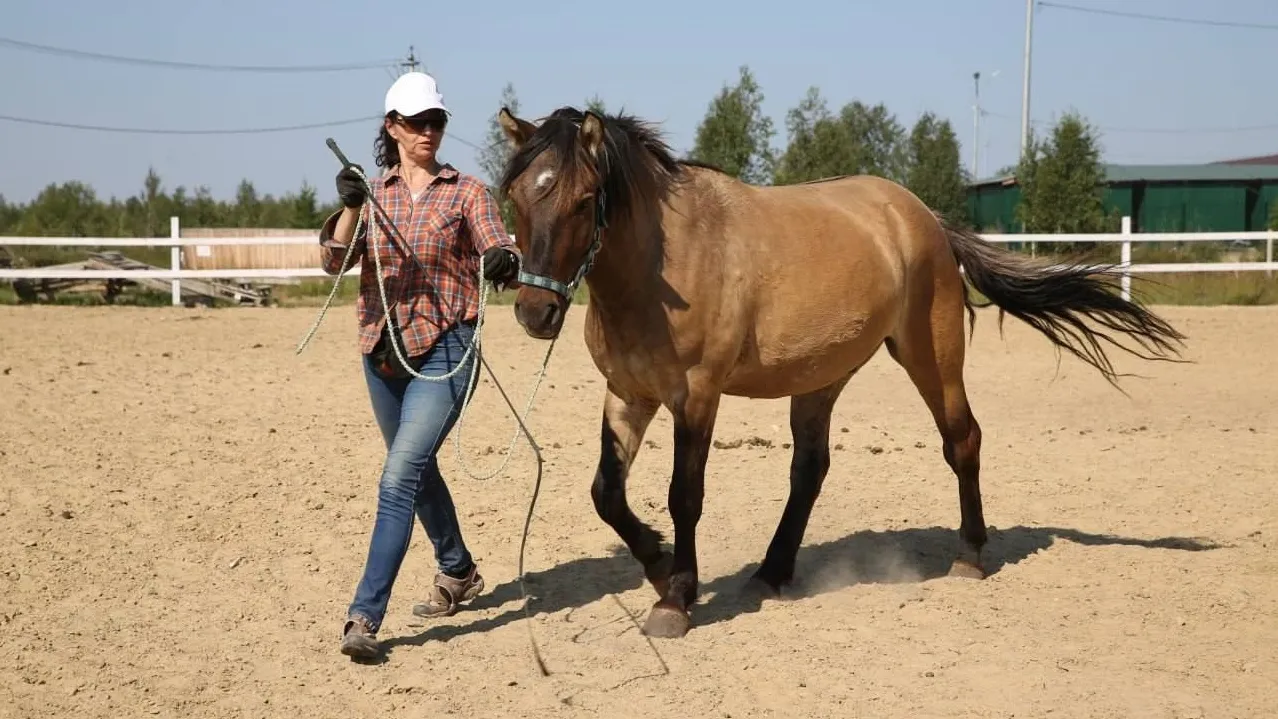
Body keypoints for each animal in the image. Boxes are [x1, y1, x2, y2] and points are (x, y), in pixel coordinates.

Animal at [495, 105, 1185, 635]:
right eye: (518, 195)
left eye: (585, 200)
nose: (535, 311)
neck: (663, 268)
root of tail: (924, 217)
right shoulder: (628, 393)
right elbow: (607, 494)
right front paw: (661, 565)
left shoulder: (696, 397)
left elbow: (683, 496)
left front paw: (676, 599)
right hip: (821, 377)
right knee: (810, 469)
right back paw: (772, 572)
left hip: (930, 356)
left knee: (962, 440)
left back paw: (969, 557)